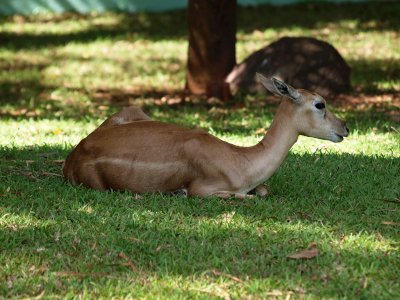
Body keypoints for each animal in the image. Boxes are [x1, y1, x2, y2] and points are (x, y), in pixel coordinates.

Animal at [62, 74, 346, 198]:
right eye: (320, 103)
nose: (345, 128)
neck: (242, 162)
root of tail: (73, 155)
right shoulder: (202, 189)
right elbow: (240, 196)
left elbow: (263, 191)